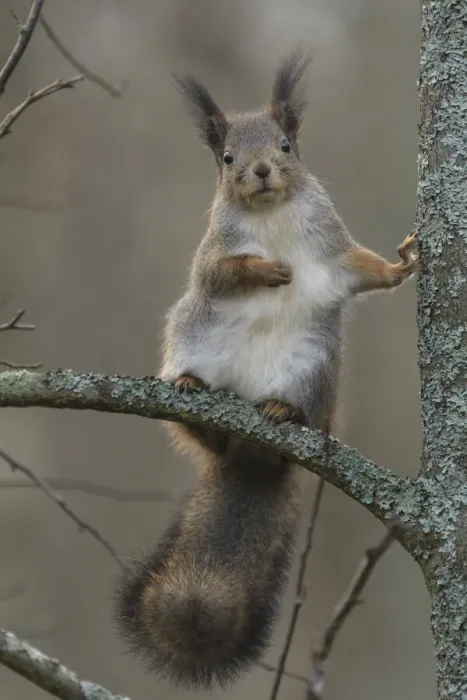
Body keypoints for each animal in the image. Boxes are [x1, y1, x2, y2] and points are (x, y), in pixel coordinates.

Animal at [113, 49, 419, 691]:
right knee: (200, 426)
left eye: (285, 145)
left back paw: (283, 411)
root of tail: (249, 451)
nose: (258, 171)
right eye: (227, 157)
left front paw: (402, 265)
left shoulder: (334, 250)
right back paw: (193, 398)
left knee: (291, 418)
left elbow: (364, 269)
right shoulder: (211, 255)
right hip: (191, 334)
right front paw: (265, 270)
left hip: (314, 369)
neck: (273, 214)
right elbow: (222, 272)